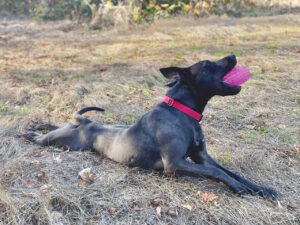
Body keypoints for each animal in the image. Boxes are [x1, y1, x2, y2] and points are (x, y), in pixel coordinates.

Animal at [22, 55, 280, 200]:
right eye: (209, 64)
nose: (233, 55)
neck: (182, 113)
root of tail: (88, 123)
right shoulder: (175, 164)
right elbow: (218, 173)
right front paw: (239, 189)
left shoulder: (202, 157)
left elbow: (229, 171)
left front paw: (260, 189)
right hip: (63, 142)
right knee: (45, 138)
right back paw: (31, 133)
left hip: (74, 128)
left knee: (62, 122)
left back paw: (38, 124)